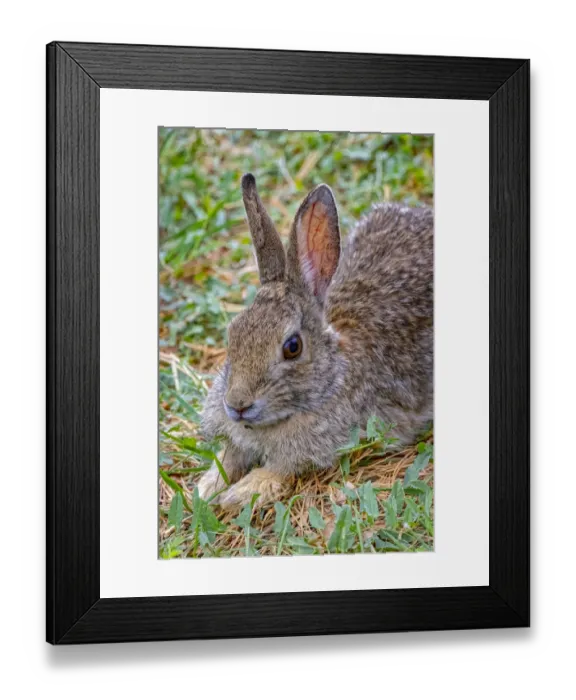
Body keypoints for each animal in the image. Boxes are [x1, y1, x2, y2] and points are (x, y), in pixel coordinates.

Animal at [198, 173, 433, 508]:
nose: (237, 405)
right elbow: (228, 457)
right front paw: (208, 486)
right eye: (233, 334)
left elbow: (278, 471)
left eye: (292, 347)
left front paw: (240, 493)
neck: (329, 379)